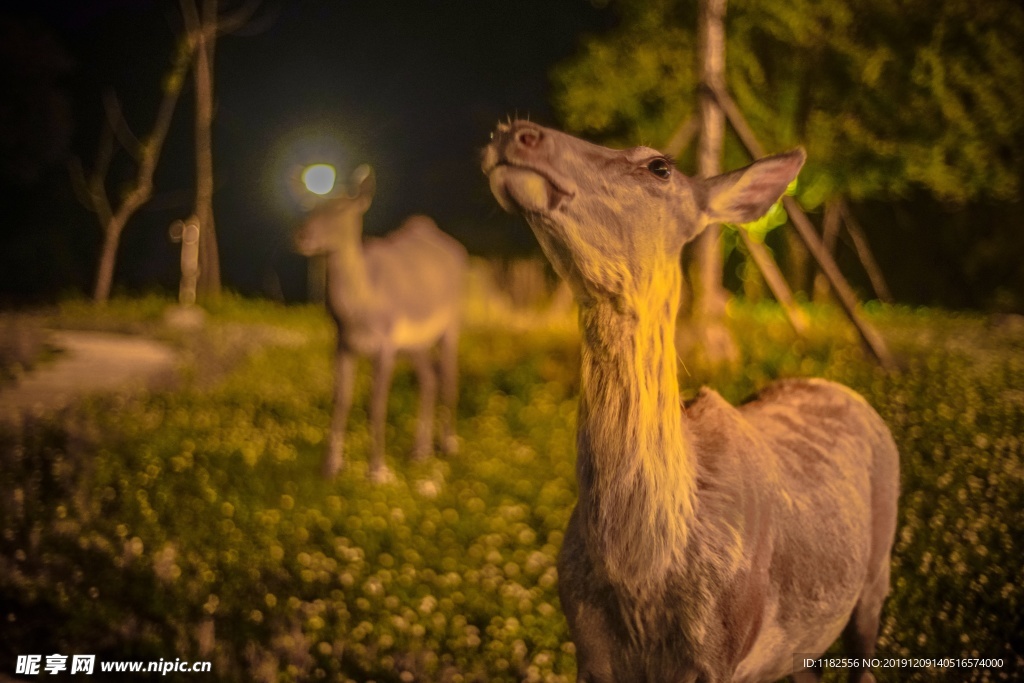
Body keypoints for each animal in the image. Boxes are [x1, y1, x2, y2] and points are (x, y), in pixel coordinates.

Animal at [294, 166, 466, 481]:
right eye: (311, 206)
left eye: (342, 209)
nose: (302, 235)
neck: (361, 311)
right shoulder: (342, 343)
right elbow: (340, 400)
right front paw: (330, 467)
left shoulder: (385, 343)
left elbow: (377, 403)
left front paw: (378, 471)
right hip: (414, 343)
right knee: (429, 379)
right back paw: (420, 451)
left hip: (452, 323)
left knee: (449, 375)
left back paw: (448, 445)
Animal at [479, 124, 897, 683]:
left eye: (659, 166)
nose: (515, 132)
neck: (639, 579)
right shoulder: (588, 648)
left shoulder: (718, 649)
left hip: (877, 571)